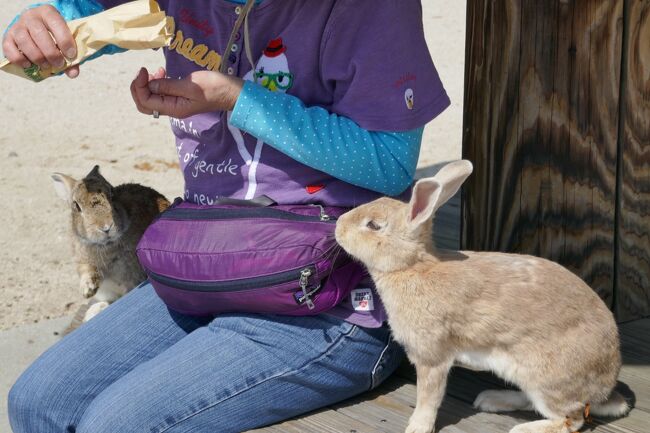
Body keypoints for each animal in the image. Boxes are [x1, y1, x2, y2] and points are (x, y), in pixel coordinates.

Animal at [52, 164, 168, 332]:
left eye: (112, 196)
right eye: (76, 206)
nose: (106, 227)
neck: (104, 246)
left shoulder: (133, 277)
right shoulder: (83, 260)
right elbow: (87, 272)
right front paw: (87, 290)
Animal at [334, 160, 628, 432]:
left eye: (374, 225)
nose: (338, 226)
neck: (413, 267)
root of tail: (605, 387)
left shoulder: (432, 356)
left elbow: (428, 398)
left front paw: (417, 427)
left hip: (546, 380)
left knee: (571, 419)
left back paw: (521, 428)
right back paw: (492, 400)